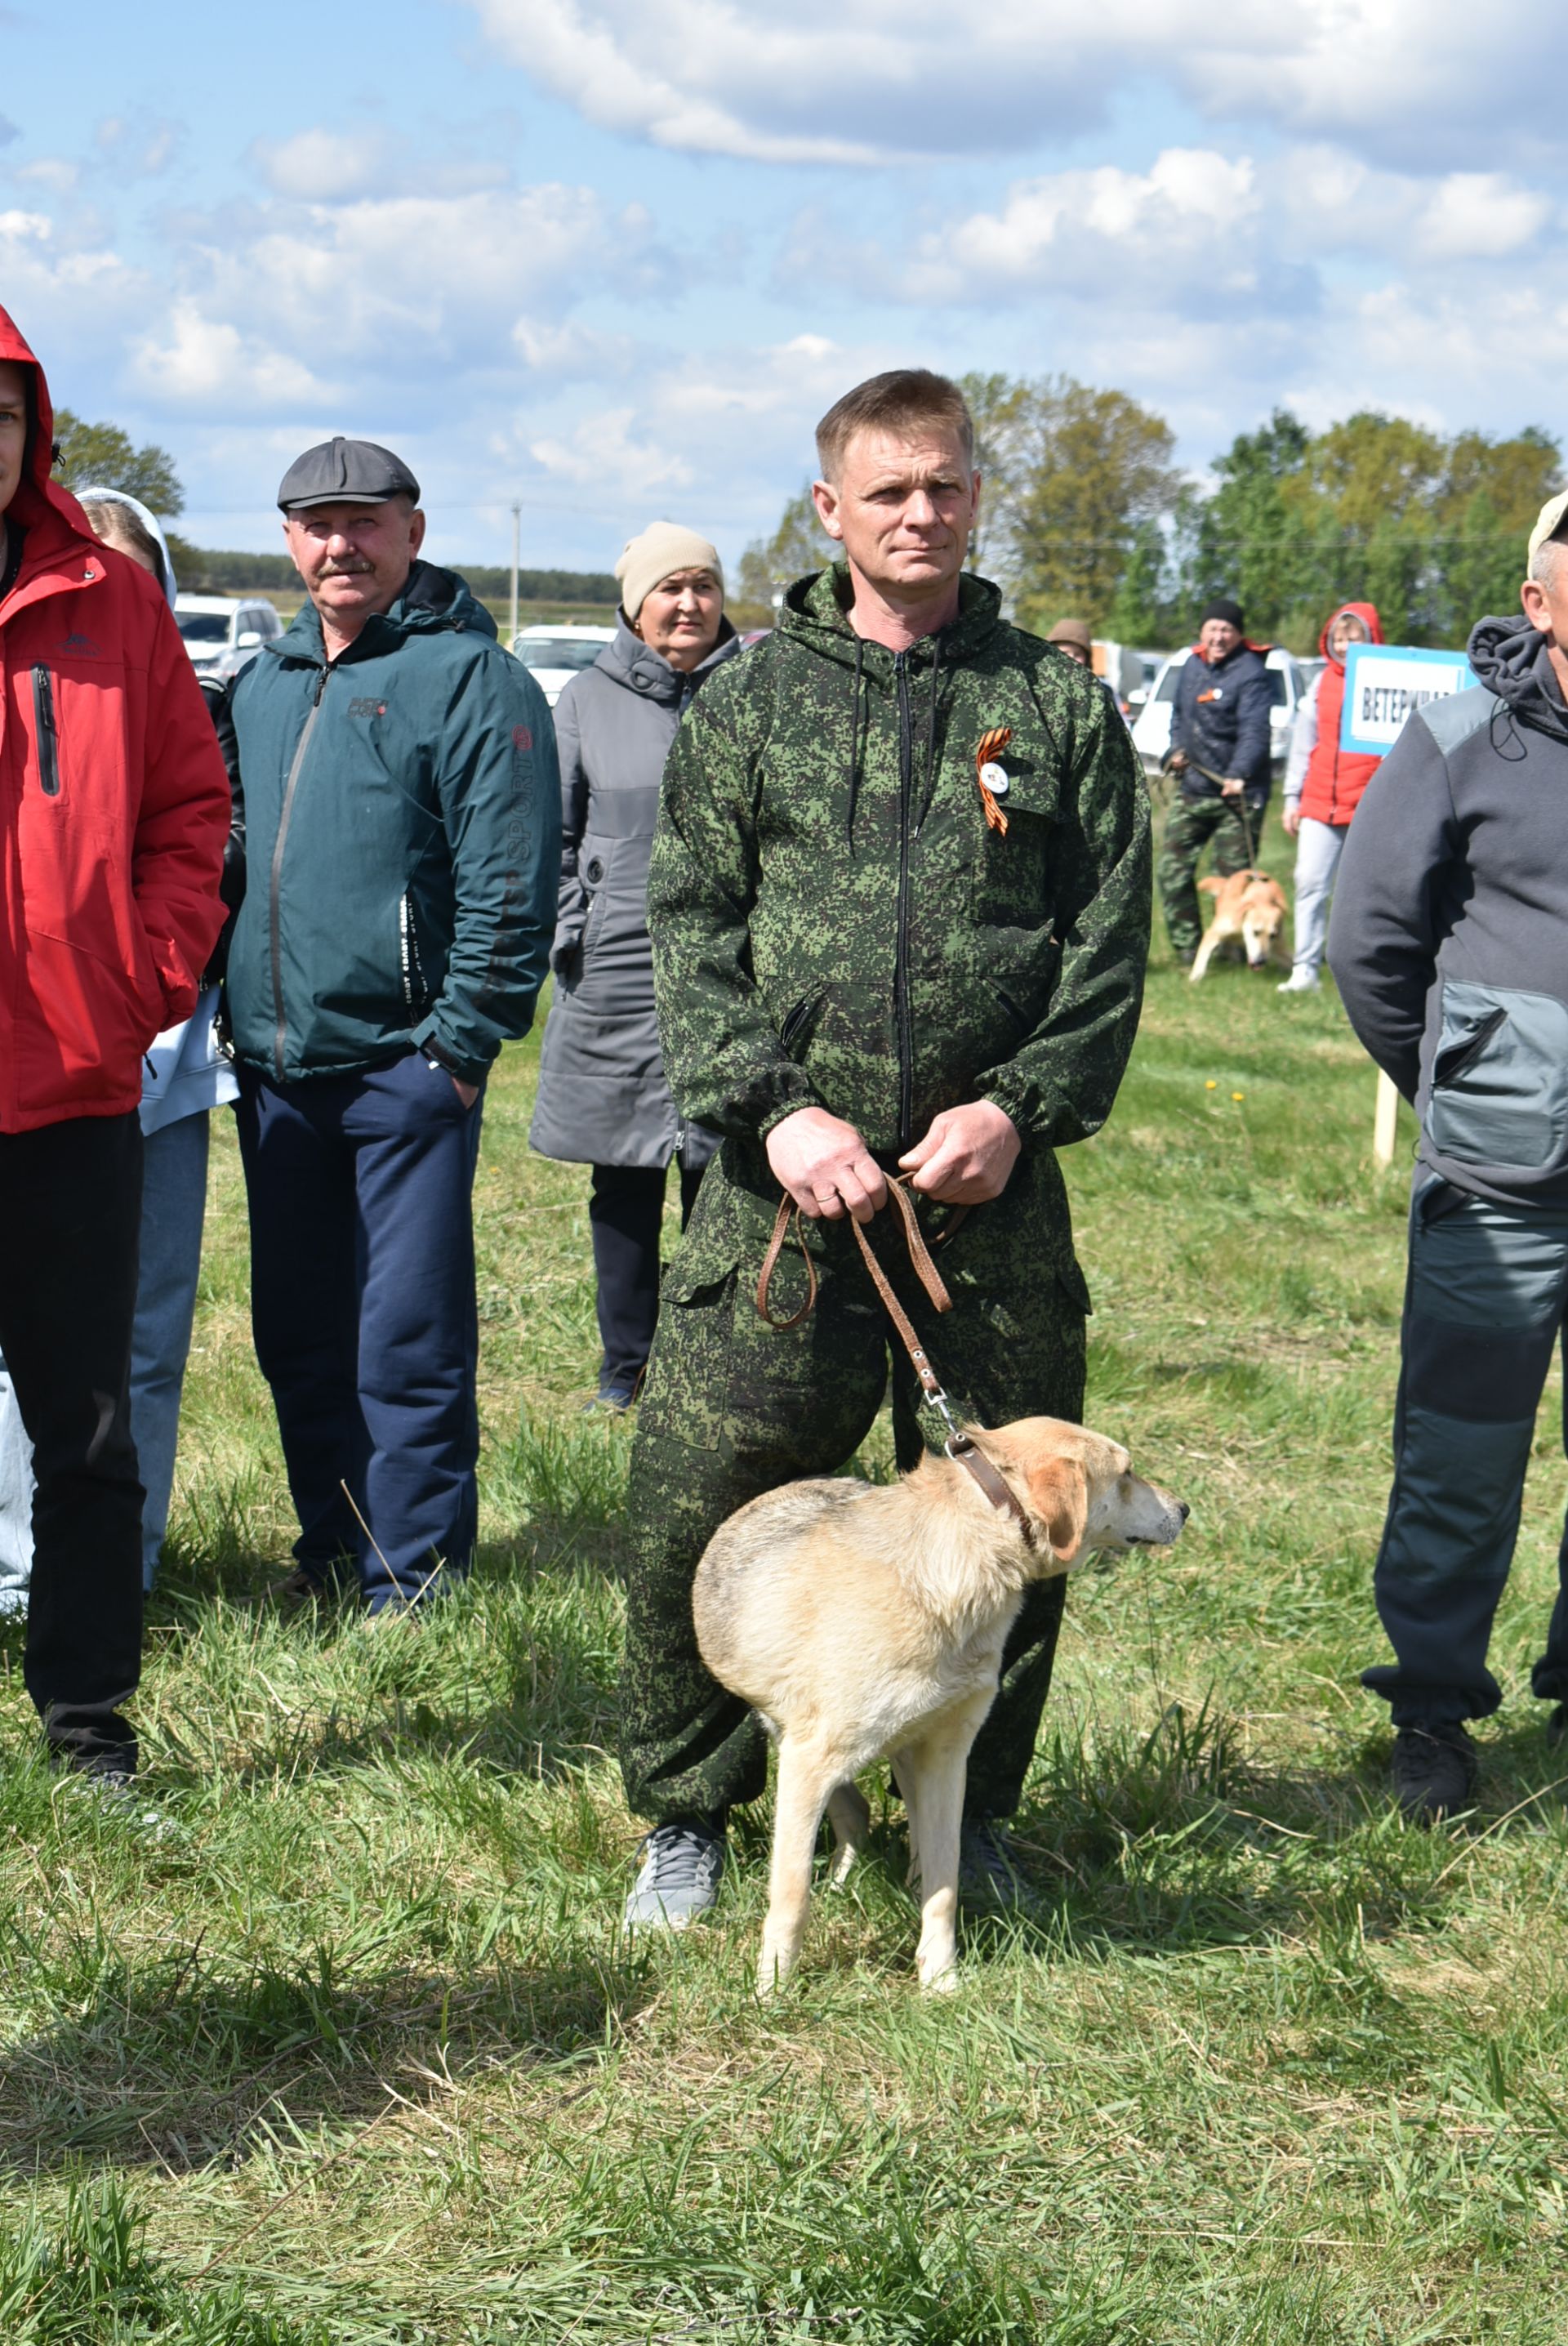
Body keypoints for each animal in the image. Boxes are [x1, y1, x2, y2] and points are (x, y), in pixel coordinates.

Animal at [688, 1407, 1181, 1998]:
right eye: (1127, 1473)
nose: (1184, 1509)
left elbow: (944, 1885)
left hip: (891, 1749)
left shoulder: (947, 1756)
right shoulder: (811, 1762)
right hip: (799, 1744)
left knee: (875, 1818)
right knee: (851, 1816)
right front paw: (773, 1990)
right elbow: (791, 1894)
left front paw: (941, 1977)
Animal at [1190, 872, 1294, 980]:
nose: (1260, 961)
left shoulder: (1277, 948)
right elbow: (1202, 956)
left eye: (1272, 935)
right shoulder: (1213, 933)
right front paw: (1195, 977)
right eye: (1255, 932)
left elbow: (1292, 961)